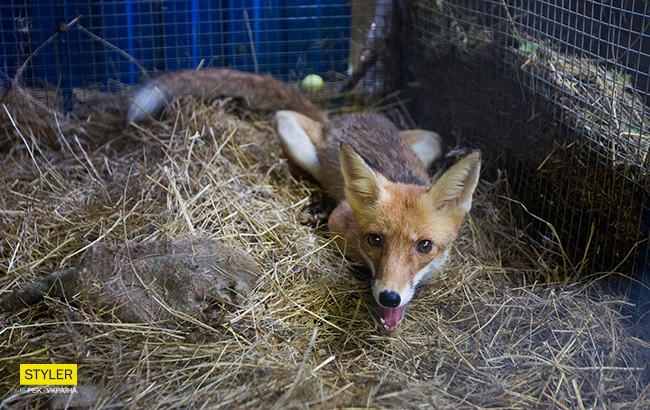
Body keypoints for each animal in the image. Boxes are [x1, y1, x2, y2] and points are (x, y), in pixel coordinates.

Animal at [128, 68, 480, 334]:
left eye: (424, 246)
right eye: (375, 240)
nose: (390, 297)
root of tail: (336, 119)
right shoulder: (340, 220)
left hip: (431, 142)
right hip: (297, 140)